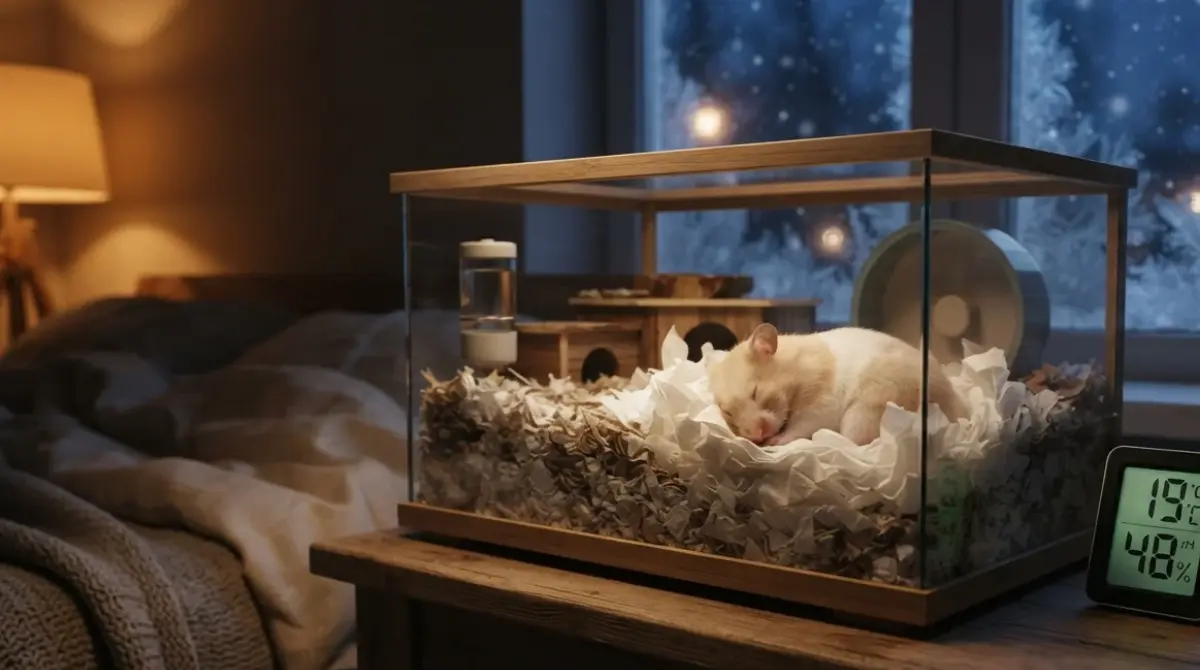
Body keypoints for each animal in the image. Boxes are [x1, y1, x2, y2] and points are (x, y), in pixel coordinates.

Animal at [707, 323, 965, 446]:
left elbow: (800, 427)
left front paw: (774, 442)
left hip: (863, 412)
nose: (757, 437)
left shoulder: (820, 407)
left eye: (755, 392)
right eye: (728, 412)